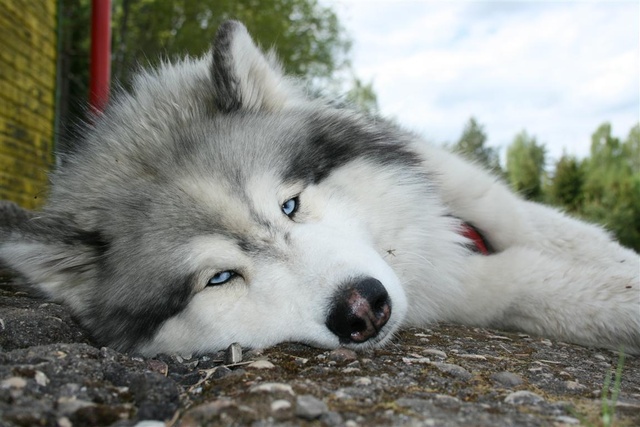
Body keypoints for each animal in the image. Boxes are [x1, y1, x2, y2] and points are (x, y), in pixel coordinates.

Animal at [1, 20, 640, 358]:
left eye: (291, 204)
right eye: (219, 278)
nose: (362, 308)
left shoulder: (469, 192)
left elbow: (553, 229)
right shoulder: (472, 283)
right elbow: (536, 281)